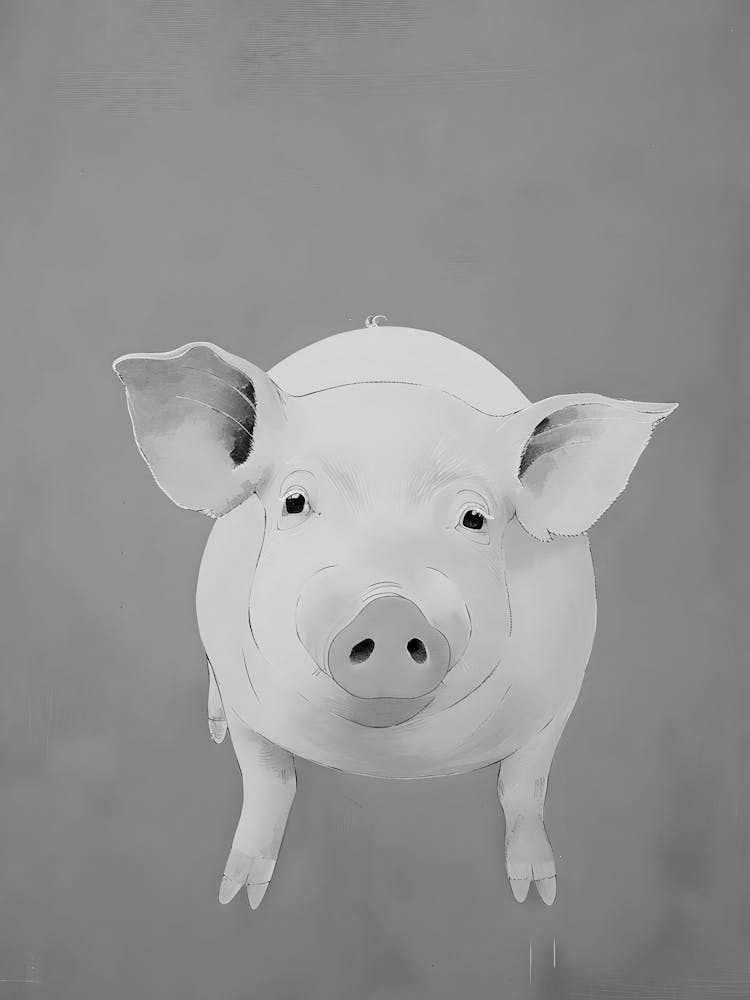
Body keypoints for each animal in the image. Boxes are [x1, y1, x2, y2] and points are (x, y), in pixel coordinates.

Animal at [113, 324, 676, 909]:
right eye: (294, 501)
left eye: (474, 517)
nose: (388, 611)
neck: (388, 756)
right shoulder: (248, 699)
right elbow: (269, 779)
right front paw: (238, 896)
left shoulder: (562, 691)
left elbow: (524, 784)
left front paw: (538, 894)